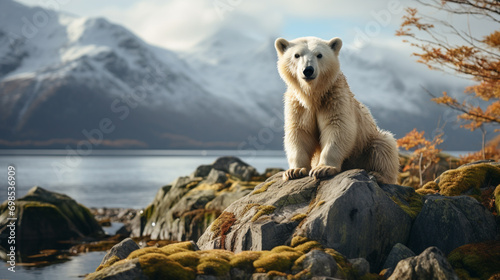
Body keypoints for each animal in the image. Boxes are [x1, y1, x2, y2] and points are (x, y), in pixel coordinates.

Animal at [274, 36, 398, 184]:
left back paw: (378, 175)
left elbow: (337, 127)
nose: (308, 70)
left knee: (384, 146)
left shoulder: (334, 99)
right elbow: (299, 132)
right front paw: (294, 171)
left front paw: (323, 169)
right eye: (297, 55)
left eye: (319, 55)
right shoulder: (298, 106)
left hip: (367, 141)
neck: (313, 96)